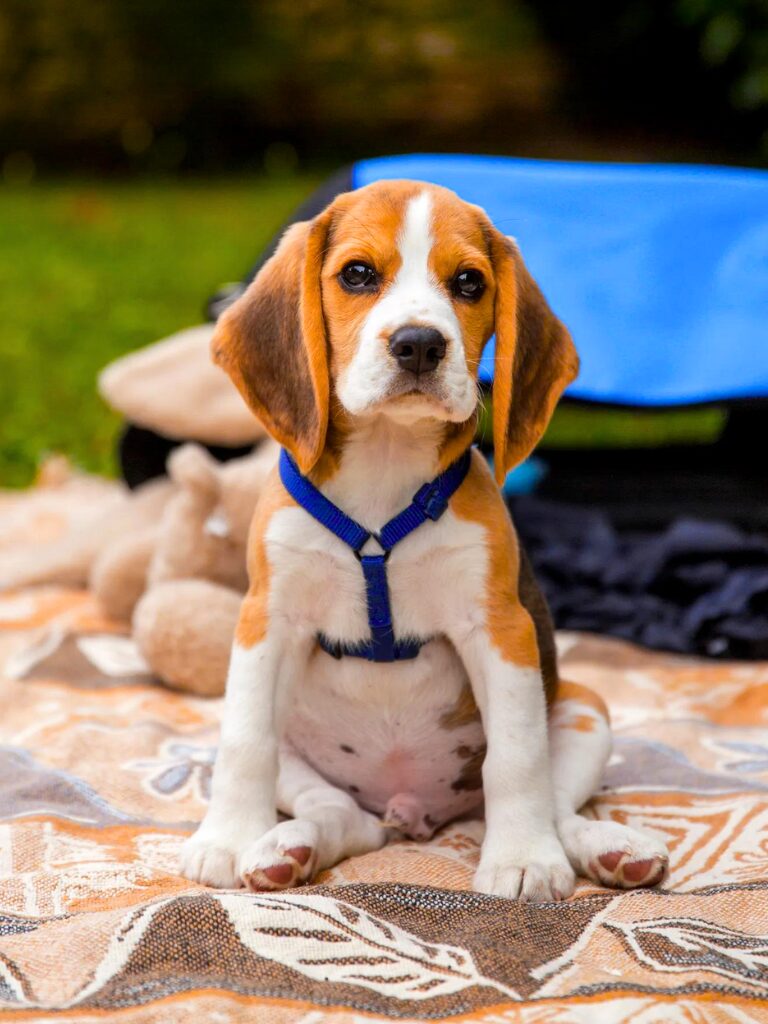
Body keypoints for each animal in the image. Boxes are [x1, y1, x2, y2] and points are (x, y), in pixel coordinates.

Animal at [180, 182, 667, 897]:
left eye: (468, 282)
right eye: (357, 274)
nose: (419, 344)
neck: (385, 467)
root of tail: (409, 811)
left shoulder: (500, 628)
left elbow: (516, 761)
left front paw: (523, 859)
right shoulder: (266, 619)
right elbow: (245, 745)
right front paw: (225, 839)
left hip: (585, 707)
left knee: (553, 802)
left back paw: (608, 848)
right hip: (311, 763)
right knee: (340, 815)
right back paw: (287, 847)